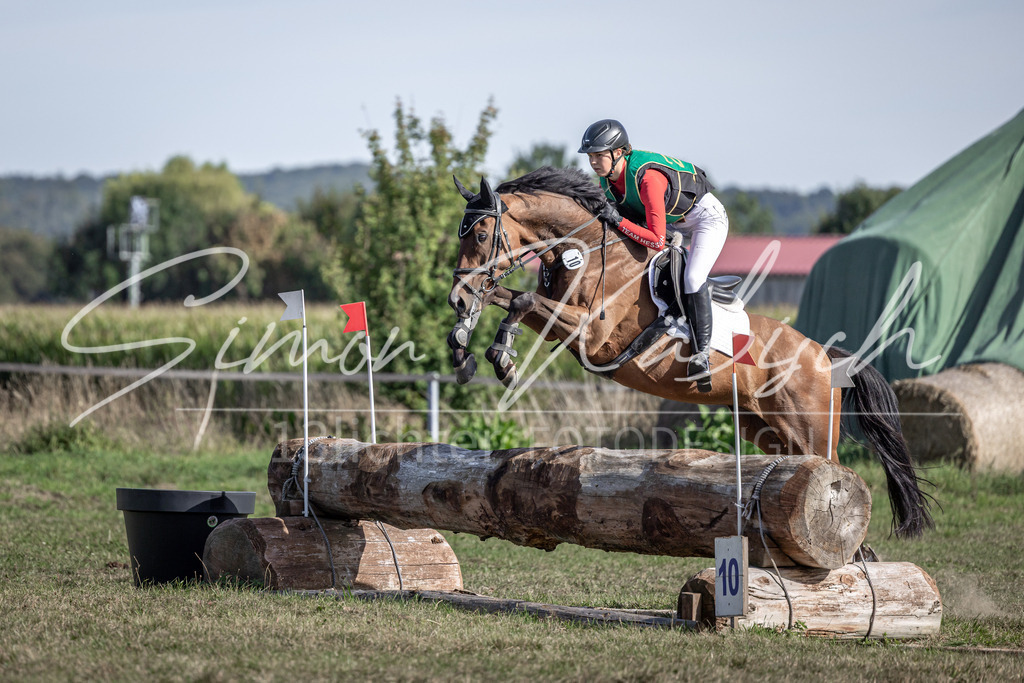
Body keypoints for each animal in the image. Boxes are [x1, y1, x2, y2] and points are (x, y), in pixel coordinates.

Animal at [446, 166, 933, 539]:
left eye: (483, 234)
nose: (456, 296)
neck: (584, 253)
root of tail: (825, 356)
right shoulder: (560, 325)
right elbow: (510, 298)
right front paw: (468, 341)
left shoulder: (593, 333)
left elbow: (523, 300)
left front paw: (497, 355)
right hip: (770, 431)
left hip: (811, 432)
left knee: (837, 479)